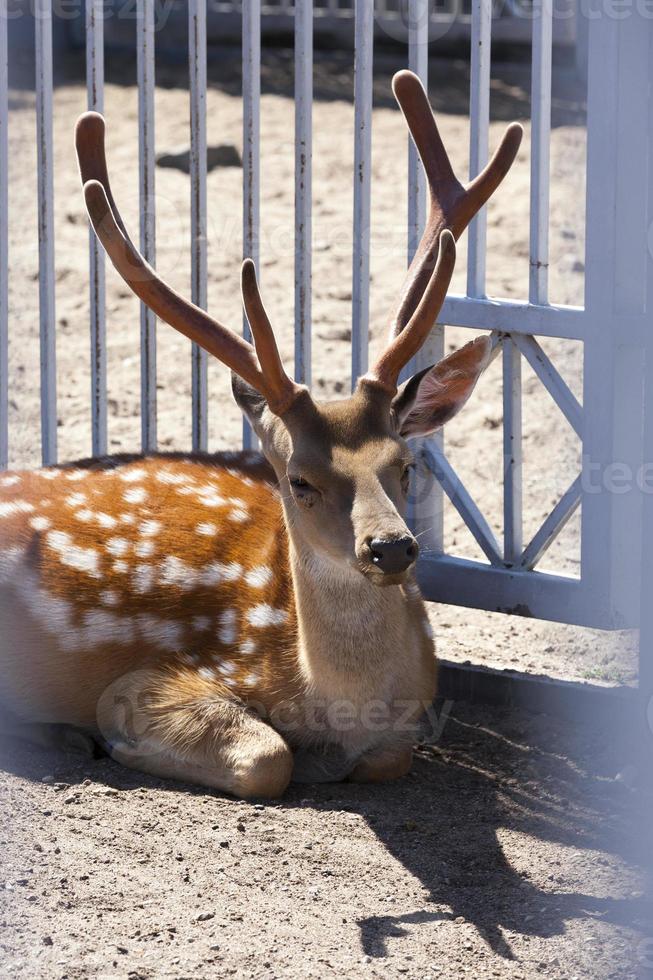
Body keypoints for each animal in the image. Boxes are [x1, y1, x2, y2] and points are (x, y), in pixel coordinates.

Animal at [0, 74, 520, 796]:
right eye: (298, 479)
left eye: (405, 464)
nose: (391, 548)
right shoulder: (149, 683)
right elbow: (268, 759)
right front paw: (112, 741)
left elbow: (390, 758)